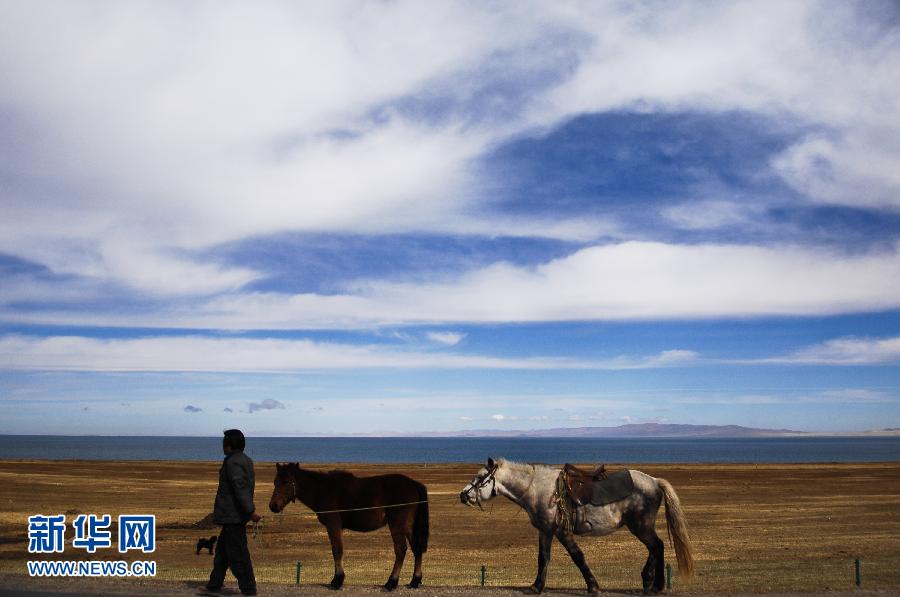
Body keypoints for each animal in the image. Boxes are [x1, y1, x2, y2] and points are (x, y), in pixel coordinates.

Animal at [268, 464, 428, 588]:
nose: (273, 506)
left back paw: (391, 582)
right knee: (417, 549)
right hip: (408, 526)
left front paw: (337, 580)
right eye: (275, 481)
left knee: (401, 550)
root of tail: (412, 483)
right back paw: (414, 581)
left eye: (287, 481)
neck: (323, 490)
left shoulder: (333, 525)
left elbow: (337, 550)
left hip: (397, 525)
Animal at [460, 458, 692, 592]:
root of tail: (654, 481)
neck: (538, 488)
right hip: (641, 526)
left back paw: (656, 584)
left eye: (480, 477)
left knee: (657, 546)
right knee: (655, 547)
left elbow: (577, 557)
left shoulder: (562, 532)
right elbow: (543, 558)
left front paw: (593, 586)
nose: (463, 495)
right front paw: (536, 587)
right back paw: (648, 581)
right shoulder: (545, 531)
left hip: (641, 525)